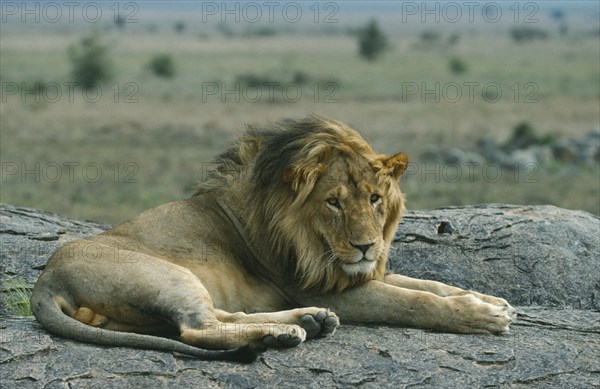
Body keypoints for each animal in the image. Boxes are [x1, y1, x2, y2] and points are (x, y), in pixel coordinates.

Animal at [30, 115, 516, 360]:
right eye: (333, 202)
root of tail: (44, 281)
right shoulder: (322, 284)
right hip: (167, 274)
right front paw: (482, 317)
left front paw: (488, 300)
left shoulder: (350, 275)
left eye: (375, 198)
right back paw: (286, 333)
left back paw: (306, 323)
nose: (366, 246)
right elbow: (412, 301)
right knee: (198, 329)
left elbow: (428, 284)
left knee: (221, 316)